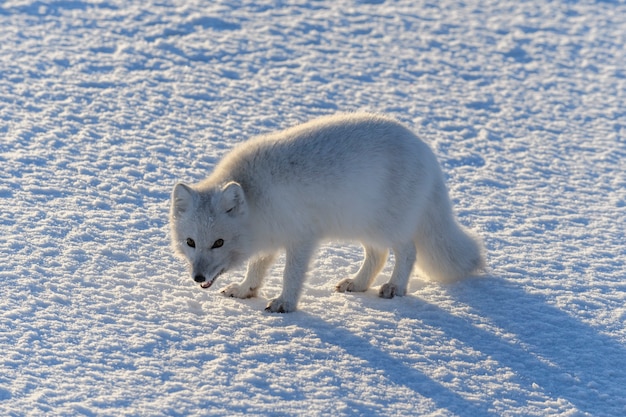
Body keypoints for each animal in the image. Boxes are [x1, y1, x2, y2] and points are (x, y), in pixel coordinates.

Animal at [169, 112, 482, 310]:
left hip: (389, 225)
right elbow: (257, 267)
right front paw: (246, 290)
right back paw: (358, 284)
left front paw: (285, 304)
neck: (254, 193)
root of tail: (426, 151)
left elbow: (291, 274)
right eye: (191, 242)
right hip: (363, 224)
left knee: (407, 252)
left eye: (219, 242)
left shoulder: (301, 238)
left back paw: (394, 287)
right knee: (378, 255)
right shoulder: (269, 236)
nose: (198, 278)